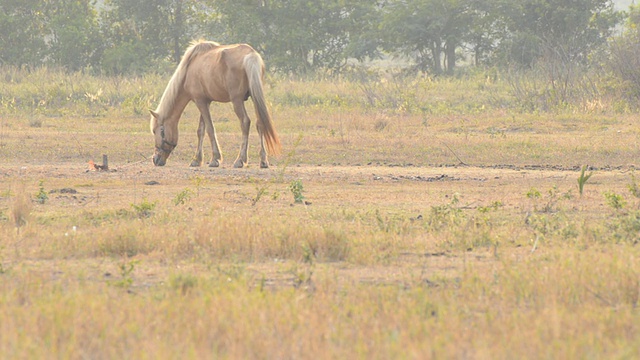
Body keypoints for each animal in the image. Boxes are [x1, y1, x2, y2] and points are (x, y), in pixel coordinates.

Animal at [151, 38, 282, 168]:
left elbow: (210, 128)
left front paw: (215, 159)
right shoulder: (205, 102)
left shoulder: (200, 101)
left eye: (159, 131)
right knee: (260, 123)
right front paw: (197, 160)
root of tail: (251, 55)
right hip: (255, 98)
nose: (155, 159)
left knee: (245, 122)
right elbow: (201, 130)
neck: (188, 70)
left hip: (237, 100)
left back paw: (240, 160)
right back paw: (263, 160)